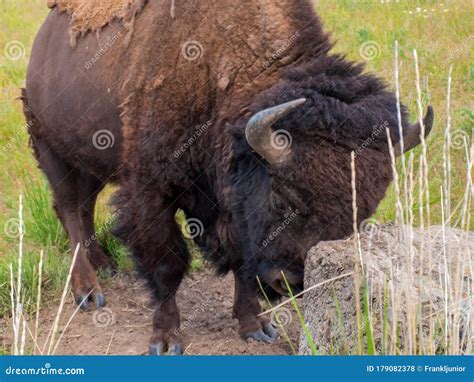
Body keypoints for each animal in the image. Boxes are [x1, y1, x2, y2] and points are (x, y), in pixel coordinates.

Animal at [22, 0, 434, 356]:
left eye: (361, 214)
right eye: (281, 199)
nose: (289, 283)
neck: (221, 68)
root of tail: (44, 38)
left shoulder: (229, 202)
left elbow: (240, 259)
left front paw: (256, 326)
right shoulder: (149, 191)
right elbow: (168, 264)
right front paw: (166, 340)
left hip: (88, 161)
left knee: (84, 209)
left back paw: (105, 264)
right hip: (52, 150)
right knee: (70, 211)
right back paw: (88, 292)